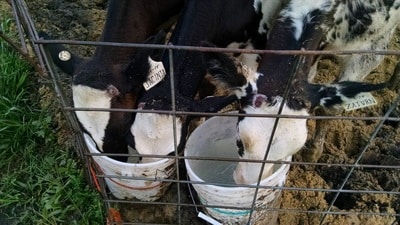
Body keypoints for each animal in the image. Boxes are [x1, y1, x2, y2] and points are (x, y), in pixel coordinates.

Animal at [233, 0, 390, 185]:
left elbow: (333, 108)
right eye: (239, 142)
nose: (243, 182)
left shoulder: (373, 49)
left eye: (284, 157)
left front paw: (313, 153)